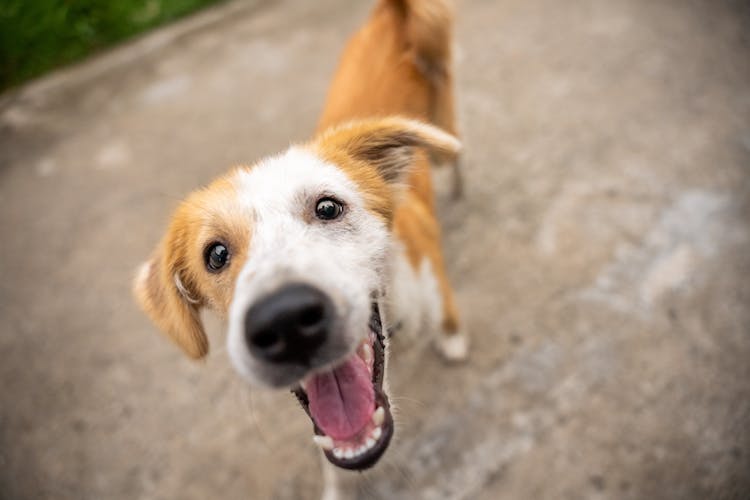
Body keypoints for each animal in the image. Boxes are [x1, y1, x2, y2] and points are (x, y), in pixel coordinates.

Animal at [132, 0, 468, 494]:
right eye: (215, 254)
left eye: (328, 207)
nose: (285, 320)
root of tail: (390, 14)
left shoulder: (430, 272)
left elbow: (447, 314)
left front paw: (453, 340)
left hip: (444, 134)